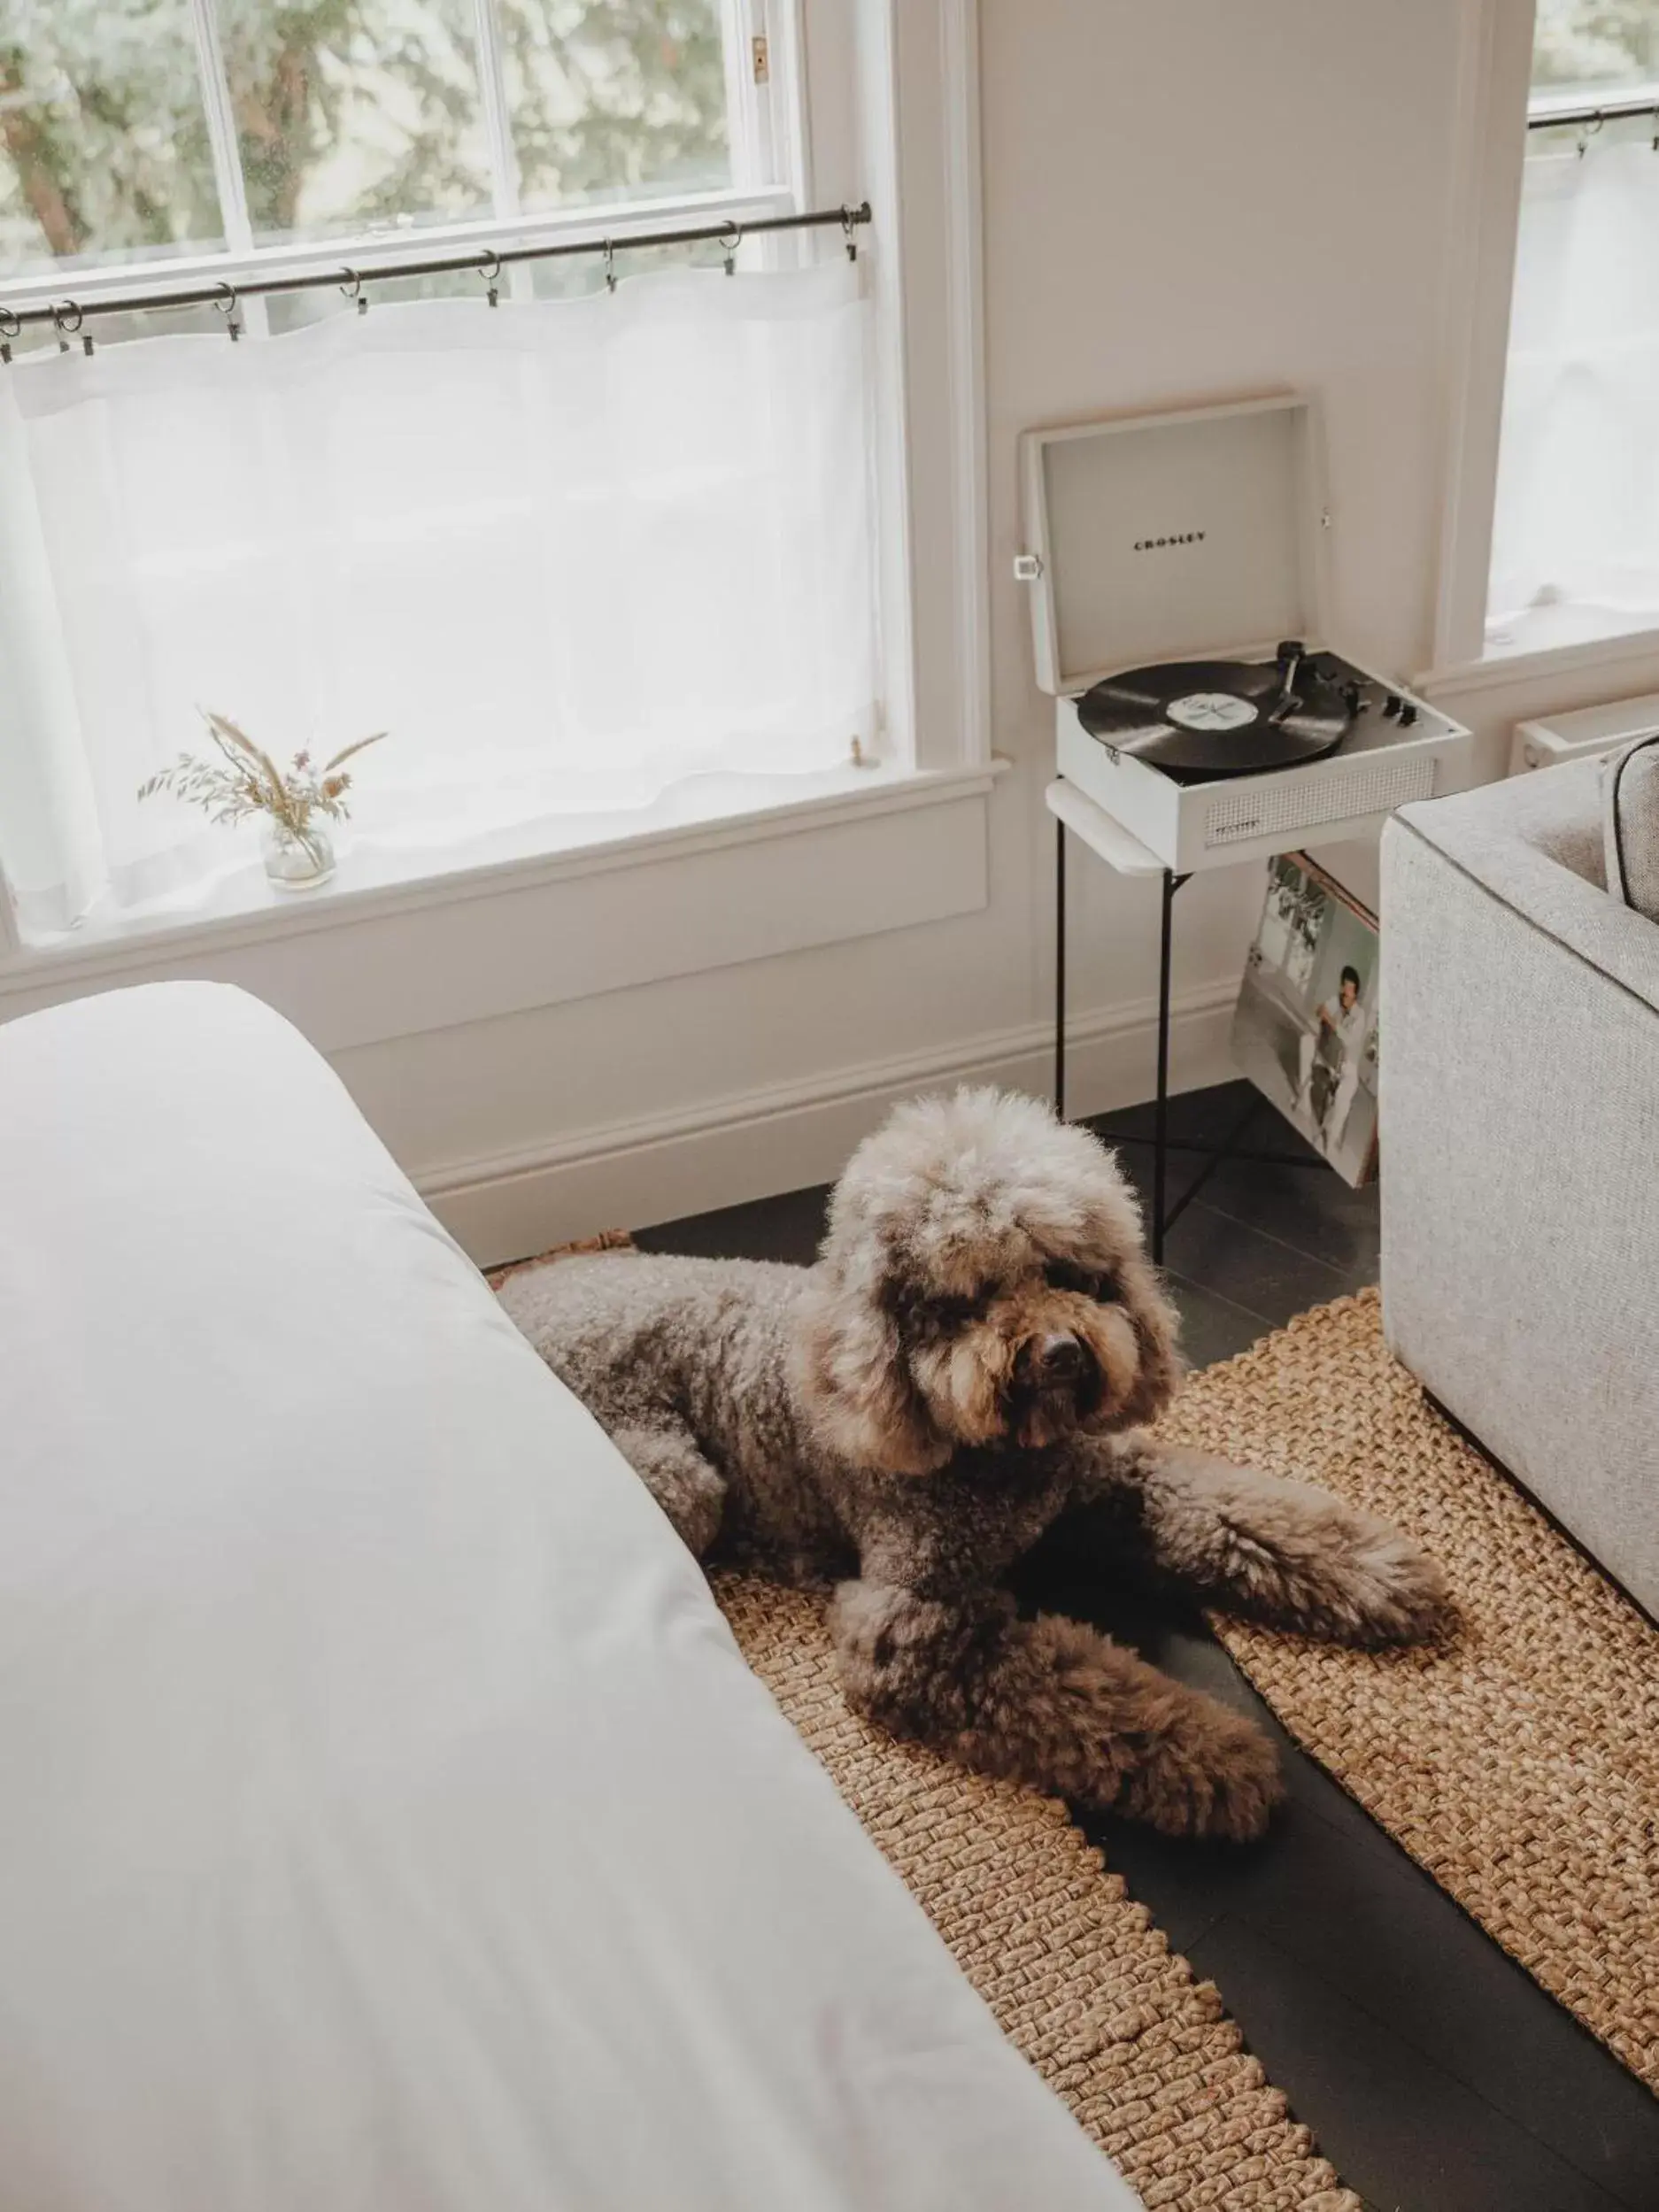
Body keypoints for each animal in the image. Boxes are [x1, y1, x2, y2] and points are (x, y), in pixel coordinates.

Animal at [506, 1083, 1451, 1831]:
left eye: (1071, 1271)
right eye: (966, 1299)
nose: (1063, 1353)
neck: (998, 1461)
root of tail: (514, 1289)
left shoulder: (1109, 1482)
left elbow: (1237, 1513)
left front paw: (1372, 1571)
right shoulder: (913, 1630)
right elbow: (1091, 1698)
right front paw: (1218, 1758)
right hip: (683, 1476)